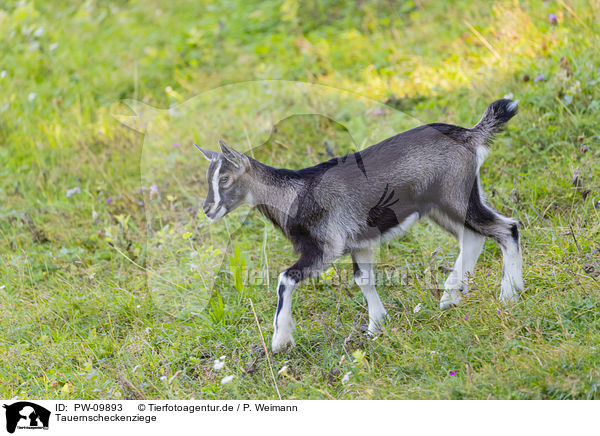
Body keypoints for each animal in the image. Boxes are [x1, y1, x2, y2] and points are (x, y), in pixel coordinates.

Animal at [196, 98, 520, 350]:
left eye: (225, 178)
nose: (208, 209)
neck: (295, 193)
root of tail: (469, 135)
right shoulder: (358, 243)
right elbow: (364, 279)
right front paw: (376, 327)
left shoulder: (326, 246)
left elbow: (285, 278)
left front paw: (280, 340)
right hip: (442, 207)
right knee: (473, 236)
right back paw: (451, 296)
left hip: (455, 196)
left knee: (507, 229)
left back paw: (509, 295)